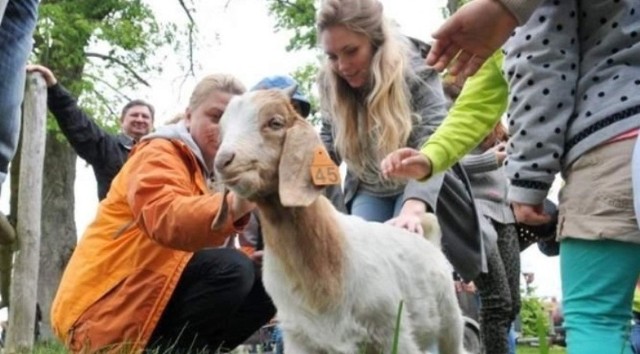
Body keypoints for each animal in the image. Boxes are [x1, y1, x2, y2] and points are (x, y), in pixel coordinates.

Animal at [212, 86, 468, 354]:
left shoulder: (392, 331)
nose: (223, 162)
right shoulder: (300, 338)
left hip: (450, 322)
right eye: (221, 130)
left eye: (275, 122)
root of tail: (429, 238)